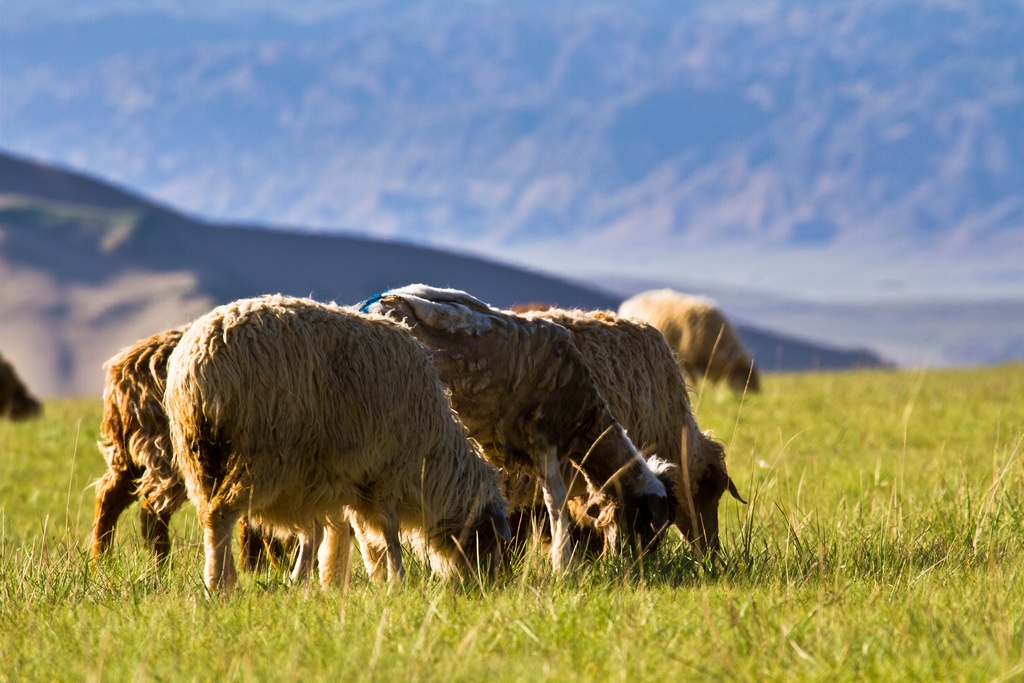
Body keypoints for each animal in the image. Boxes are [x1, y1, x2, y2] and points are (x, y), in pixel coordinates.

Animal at [164, 296, 512, 589]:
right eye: (490, 539)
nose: (488, 585)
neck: (434, 454)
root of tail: (201, 357)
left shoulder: (328, 478)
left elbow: (319, 532)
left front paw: (303, 579)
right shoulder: (386, 472)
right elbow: (389, 531)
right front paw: (397, 579)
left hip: (199, 456)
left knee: (210, 518)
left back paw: (224, 579)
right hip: (259, 453)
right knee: (221, 515)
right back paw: (219, 586)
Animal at [356, 282, 675, 573]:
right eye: (652, 526)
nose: (645, 565)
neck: (585, 423)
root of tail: (370, 306)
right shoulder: (543, 437)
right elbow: (556, 501)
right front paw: (563, 567)